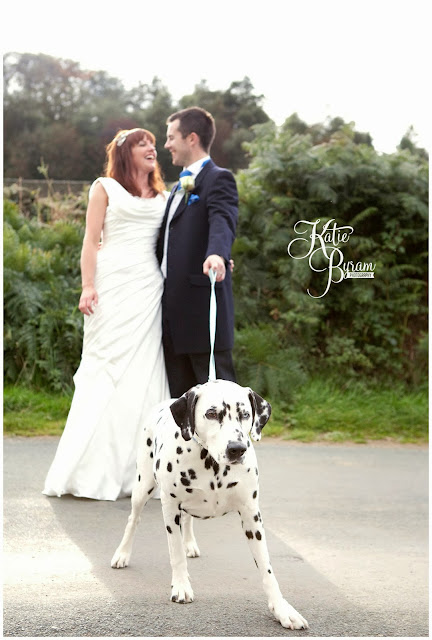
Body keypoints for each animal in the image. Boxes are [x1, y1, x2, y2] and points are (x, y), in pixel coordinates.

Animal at [110, 380, 308, 632]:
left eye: (245, 414)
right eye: (212, 414)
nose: (236, 448)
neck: (211, 463)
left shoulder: (252, 516)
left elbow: (267, 568)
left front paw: (283, 610)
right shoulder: (170, 508)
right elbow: (175, 554)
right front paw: (181, 586)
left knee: (187, 519)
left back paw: (190, 544)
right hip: (142, 487)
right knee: (133, 520)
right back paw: (122, 554)